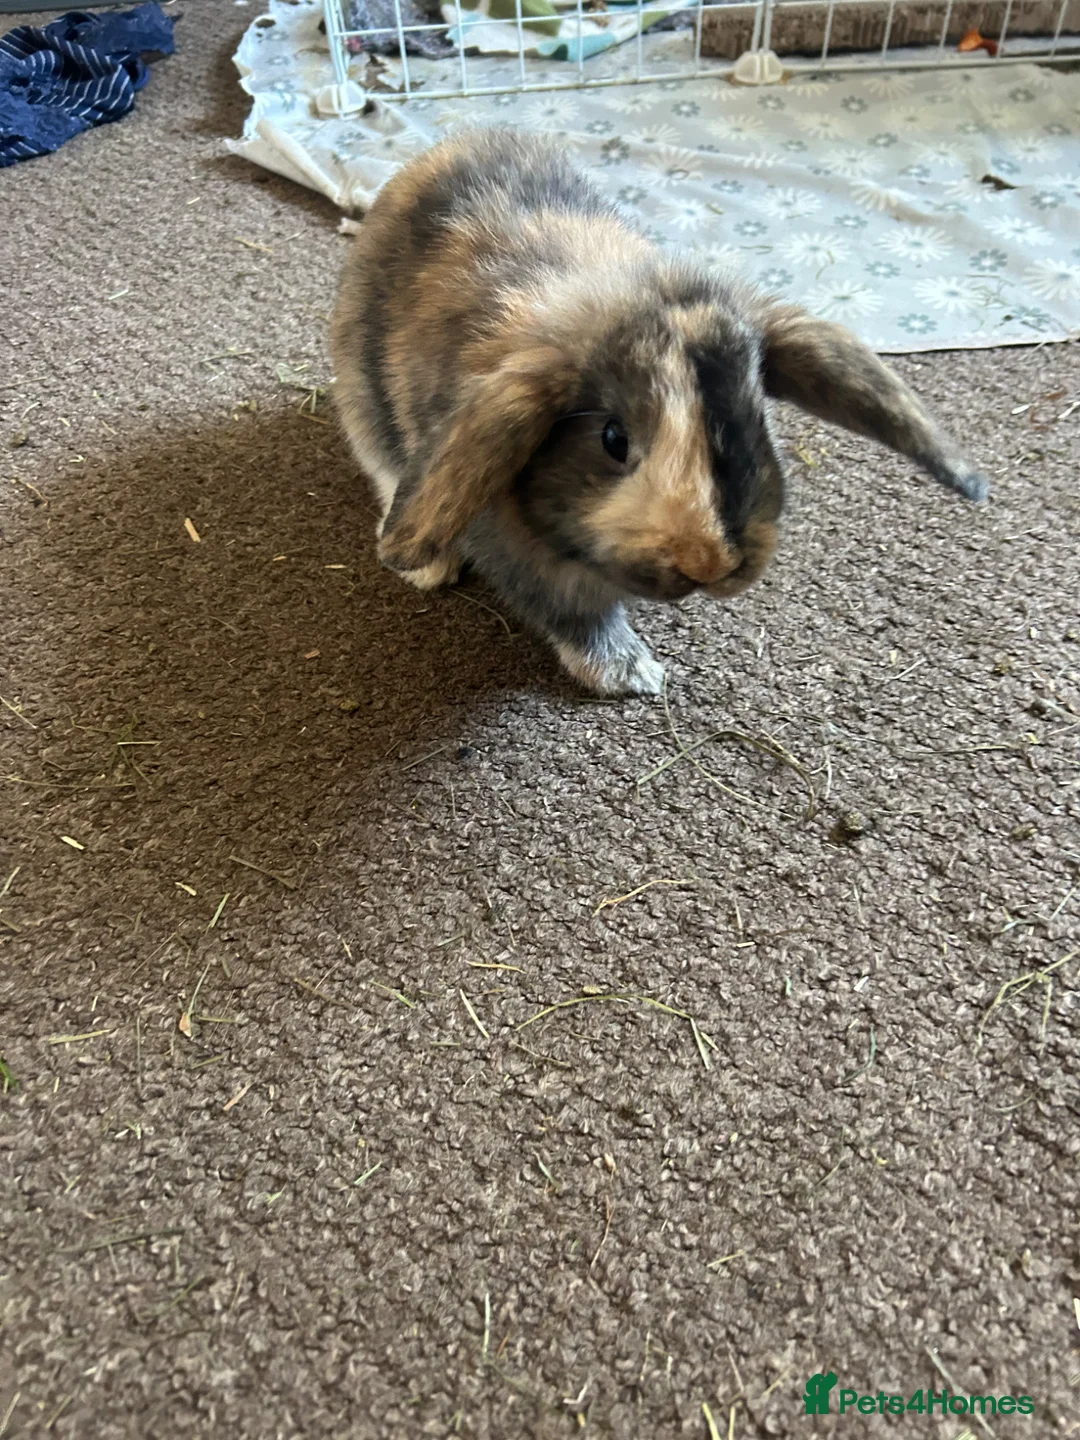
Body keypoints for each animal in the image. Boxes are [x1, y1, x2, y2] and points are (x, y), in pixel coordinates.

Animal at [330, 127, 988, 696]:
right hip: (362, 399)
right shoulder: (522, 553)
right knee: (386, 467)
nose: (712, 562)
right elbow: (578, 617)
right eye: (613, 439)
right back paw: (425, 564)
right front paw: (632, 675)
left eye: (757, 418)